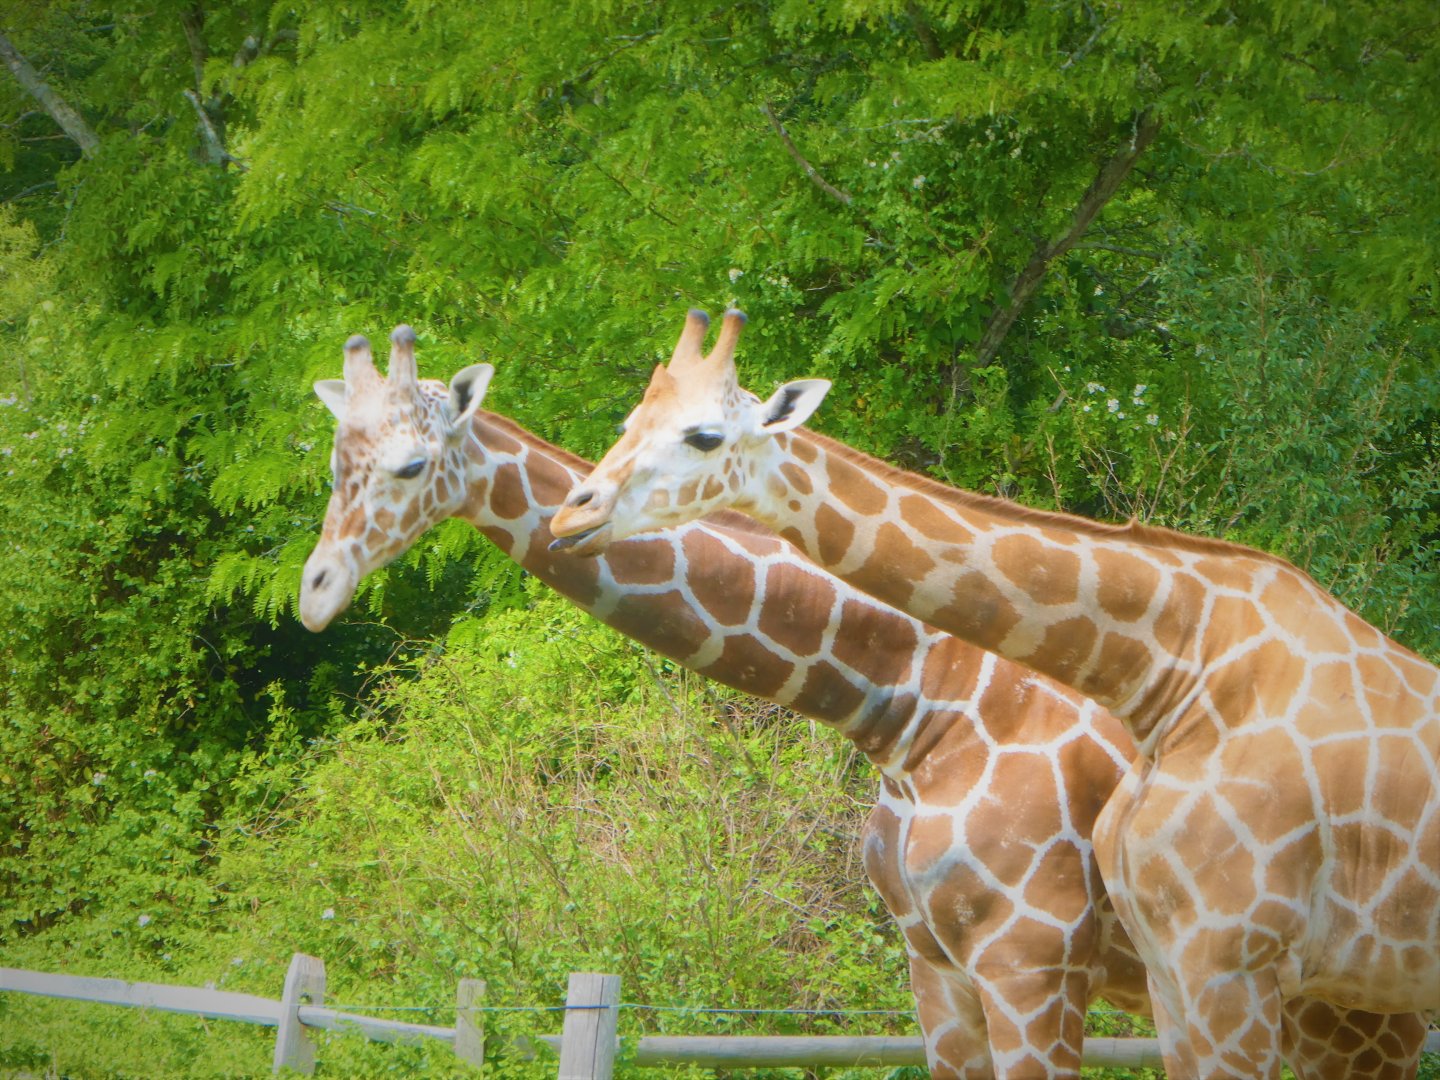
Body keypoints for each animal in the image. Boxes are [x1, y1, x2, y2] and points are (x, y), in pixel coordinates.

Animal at [299, 325, 1158, 1079]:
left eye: (412, 465)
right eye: (336, 462)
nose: (315, 593)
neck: (924, 698)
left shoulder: (1031, 960)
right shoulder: (934, 963)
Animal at [548, 308, 1440, 1079]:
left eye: (705, 435)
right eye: (629, 422)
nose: (570, 513)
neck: (1173, 672)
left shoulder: (1144, 959)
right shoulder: (1095, 969)